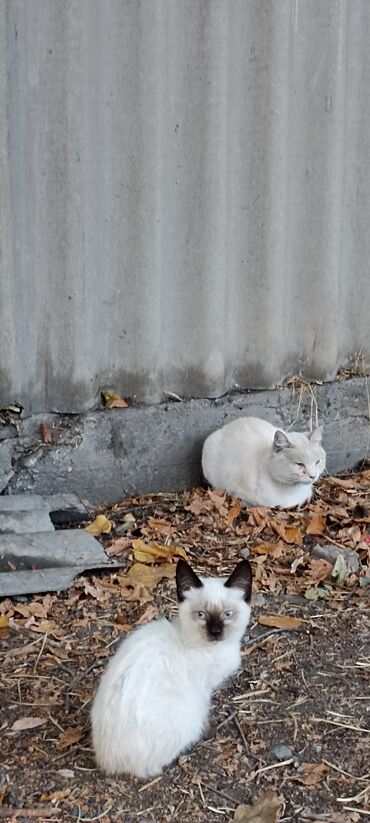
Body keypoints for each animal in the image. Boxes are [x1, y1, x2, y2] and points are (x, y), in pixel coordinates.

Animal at [90, 556, 251, 776]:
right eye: (201, 615)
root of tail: (109, 763)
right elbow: (205, 710)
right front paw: (209, 730)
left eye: (227, 614)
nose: (215, 632)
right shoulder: (203, 688)